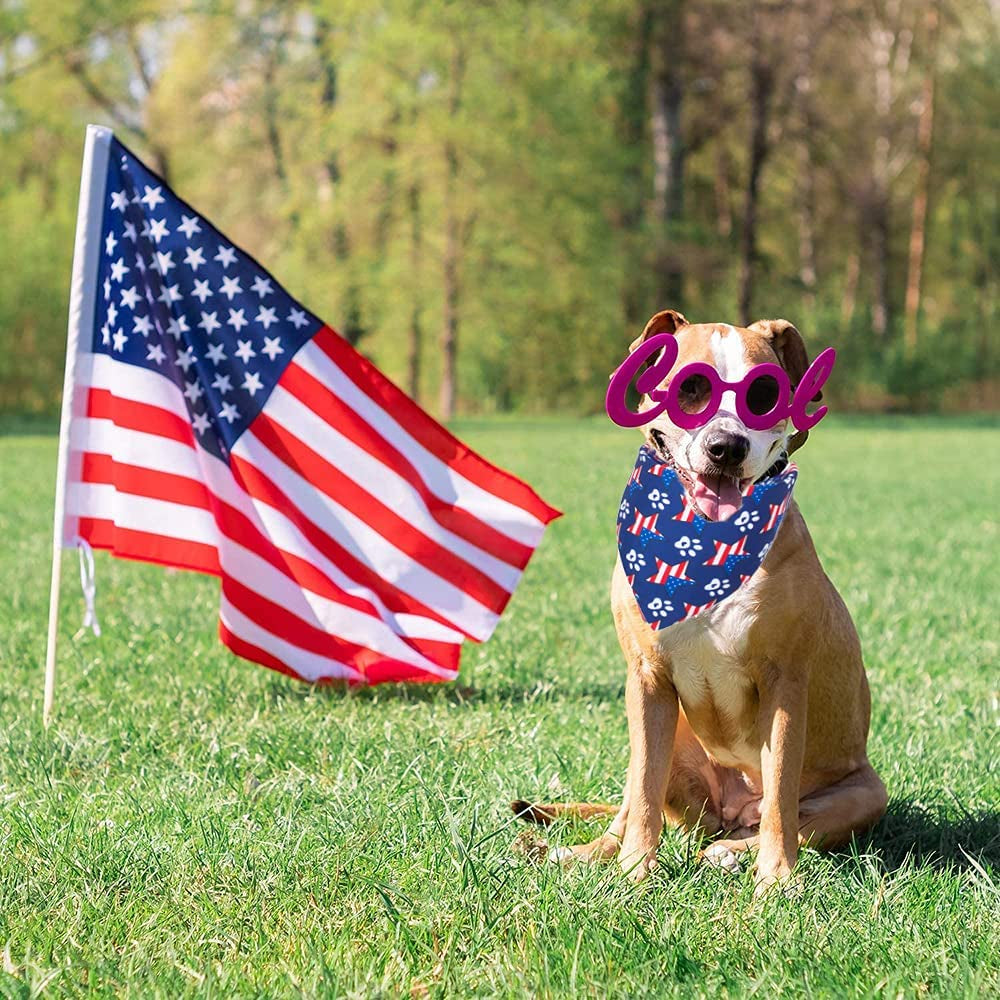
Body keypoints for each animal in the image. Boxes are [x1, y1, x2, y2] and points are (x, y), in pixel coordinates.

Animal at [520, 310, 888, 892]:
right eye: (691, 387)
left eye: (763, 395)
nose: (726, 446)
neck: (703, 547)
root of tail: (729, 809)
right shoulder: (646, 680)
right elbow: (644, 793)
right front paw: (635, 870)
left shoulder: (785, 682)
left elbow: (781, 796)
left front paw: (777, 878)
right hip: (663, 736)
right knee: (630, 798)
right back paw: (584, 853)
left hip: (863, 792)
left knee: (790, 820)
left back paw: (734, 852)